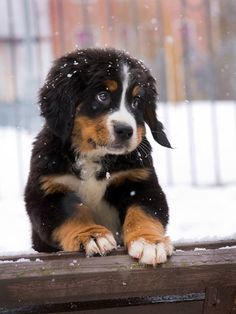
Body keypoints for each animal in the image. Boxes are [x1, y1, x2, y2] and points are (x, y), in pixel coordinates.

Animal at [24, 47, 173, 264]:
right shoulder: (47, 191)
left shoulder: (140, 182)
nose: (125, 130)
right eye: (102, 96)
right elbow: (72, 214)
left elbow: (143, 213)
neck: (93, 155)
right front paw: (91, 236)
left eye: (137, 101)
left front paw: (149, 243)